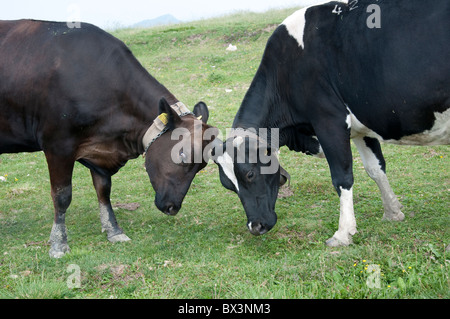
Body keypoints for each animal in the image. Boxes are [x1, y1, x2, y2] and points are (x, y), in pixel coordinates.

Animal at [0, 20, 216, 258]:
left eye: (201, 166)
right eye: (182, 154)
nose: (172, 207)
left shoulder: (100, 152)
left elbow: (103, 190)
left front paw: (114, 230)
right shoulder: (57, 145)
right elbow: (62, 195)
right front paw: (58, 243)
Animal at [212, 0, 450, 248]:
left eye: (249, 174)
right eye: (228, 185)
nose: (255, 227)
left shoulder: (329, 120)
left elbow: (342, 177)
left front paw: (343, 233)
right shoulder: (360, 127)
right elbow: (375, 168)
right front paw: (392, 212)